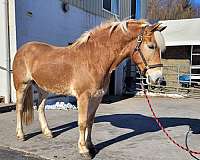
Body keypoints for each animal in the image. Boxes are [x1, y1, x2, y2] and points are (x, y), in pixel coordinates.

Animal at [12, 19, 166, 159]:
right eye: (151, 46)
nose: (158, 79)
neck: (93, 59)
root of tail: (23, 49)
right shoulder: (83, 97)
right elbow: (82, 123)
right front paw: (83, 150)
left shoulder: (97, 97)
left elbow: (90, 121)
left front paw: (90, 145)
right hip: (22, 86)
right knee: (19, 108)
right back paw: (20, 135)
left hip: (43, 88)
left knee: (40, 107)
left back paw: (47, 132)